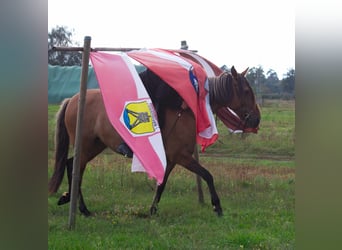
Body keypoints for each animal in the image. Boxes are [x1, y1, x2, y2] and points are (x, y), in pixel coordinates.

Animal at [48, 66, 260, 217]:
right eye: (246, 91)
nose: (256, 119)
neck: (189, 109)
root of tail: (72, 99)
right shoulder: (182, 157)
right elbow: (208, 175)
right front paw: (217, 206)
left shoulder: (172, 160)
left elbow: (162, 184)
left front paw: (152, 210)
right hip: (86, 145)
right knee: (74, 168)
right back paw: (80, 207)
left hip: (95, 145)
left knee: (74, 167)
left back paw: (72, 201)